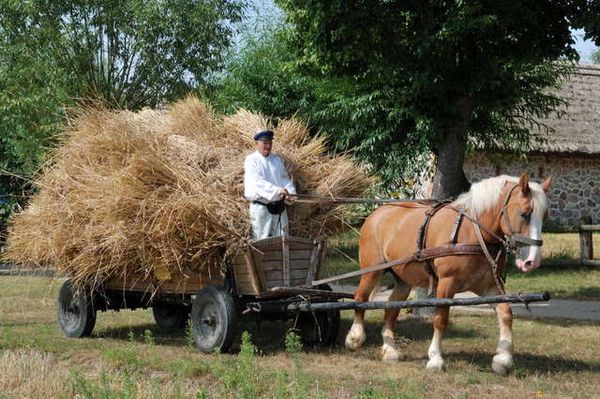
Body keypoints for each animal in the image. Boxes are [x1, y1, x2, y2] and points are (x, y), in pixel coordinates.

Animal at [344, 173, 552, 376]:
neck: (473, 232)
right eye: (524, 214)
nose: (532, 261)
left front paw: (503, 359)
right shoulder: (446, 283)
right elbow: (440, 320)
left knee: (391, 308)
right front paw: (436, 359)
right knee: (360, 298)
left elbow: (505, 313)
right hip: (372, 271)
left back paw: (389, 350)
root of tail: (377, 213)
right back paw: (355, 337)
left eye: (544, 216)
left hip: (403, 279)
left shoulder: (488, 286)